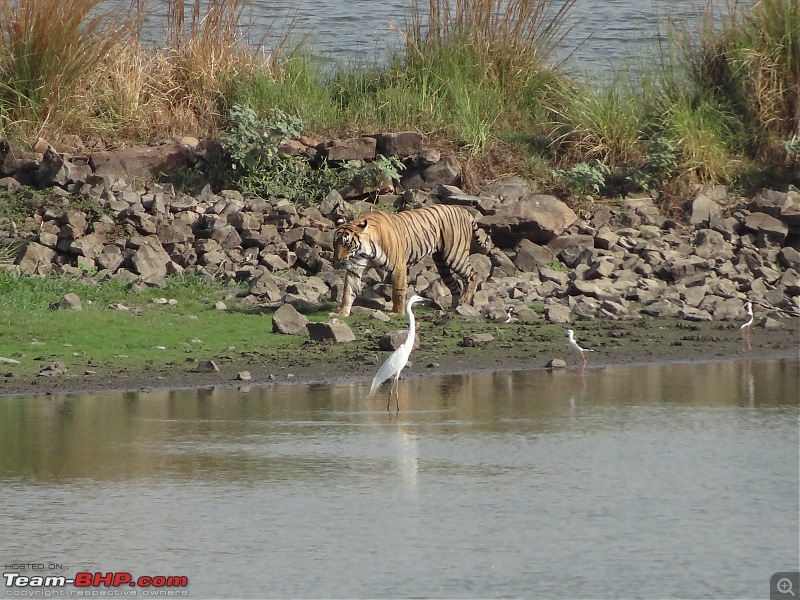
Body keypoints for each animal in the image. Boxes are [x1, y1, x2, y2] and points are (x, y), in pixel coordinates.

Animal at [332, 205, 488, 318]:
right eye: (335, 243)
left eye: (347, 244)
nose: (338, 260)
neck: (364, 250)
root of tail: (463, 210)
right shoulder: (355, 268)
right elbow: (348, 291)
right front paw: (341, 313)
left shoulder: (398, 267)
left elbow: (398, 291)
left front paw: (397, 313)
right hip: (442, 263)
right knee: (455, 286)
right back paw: (453, 308)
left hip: (454, 256)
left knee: (473, 274)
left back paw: (464, 302)